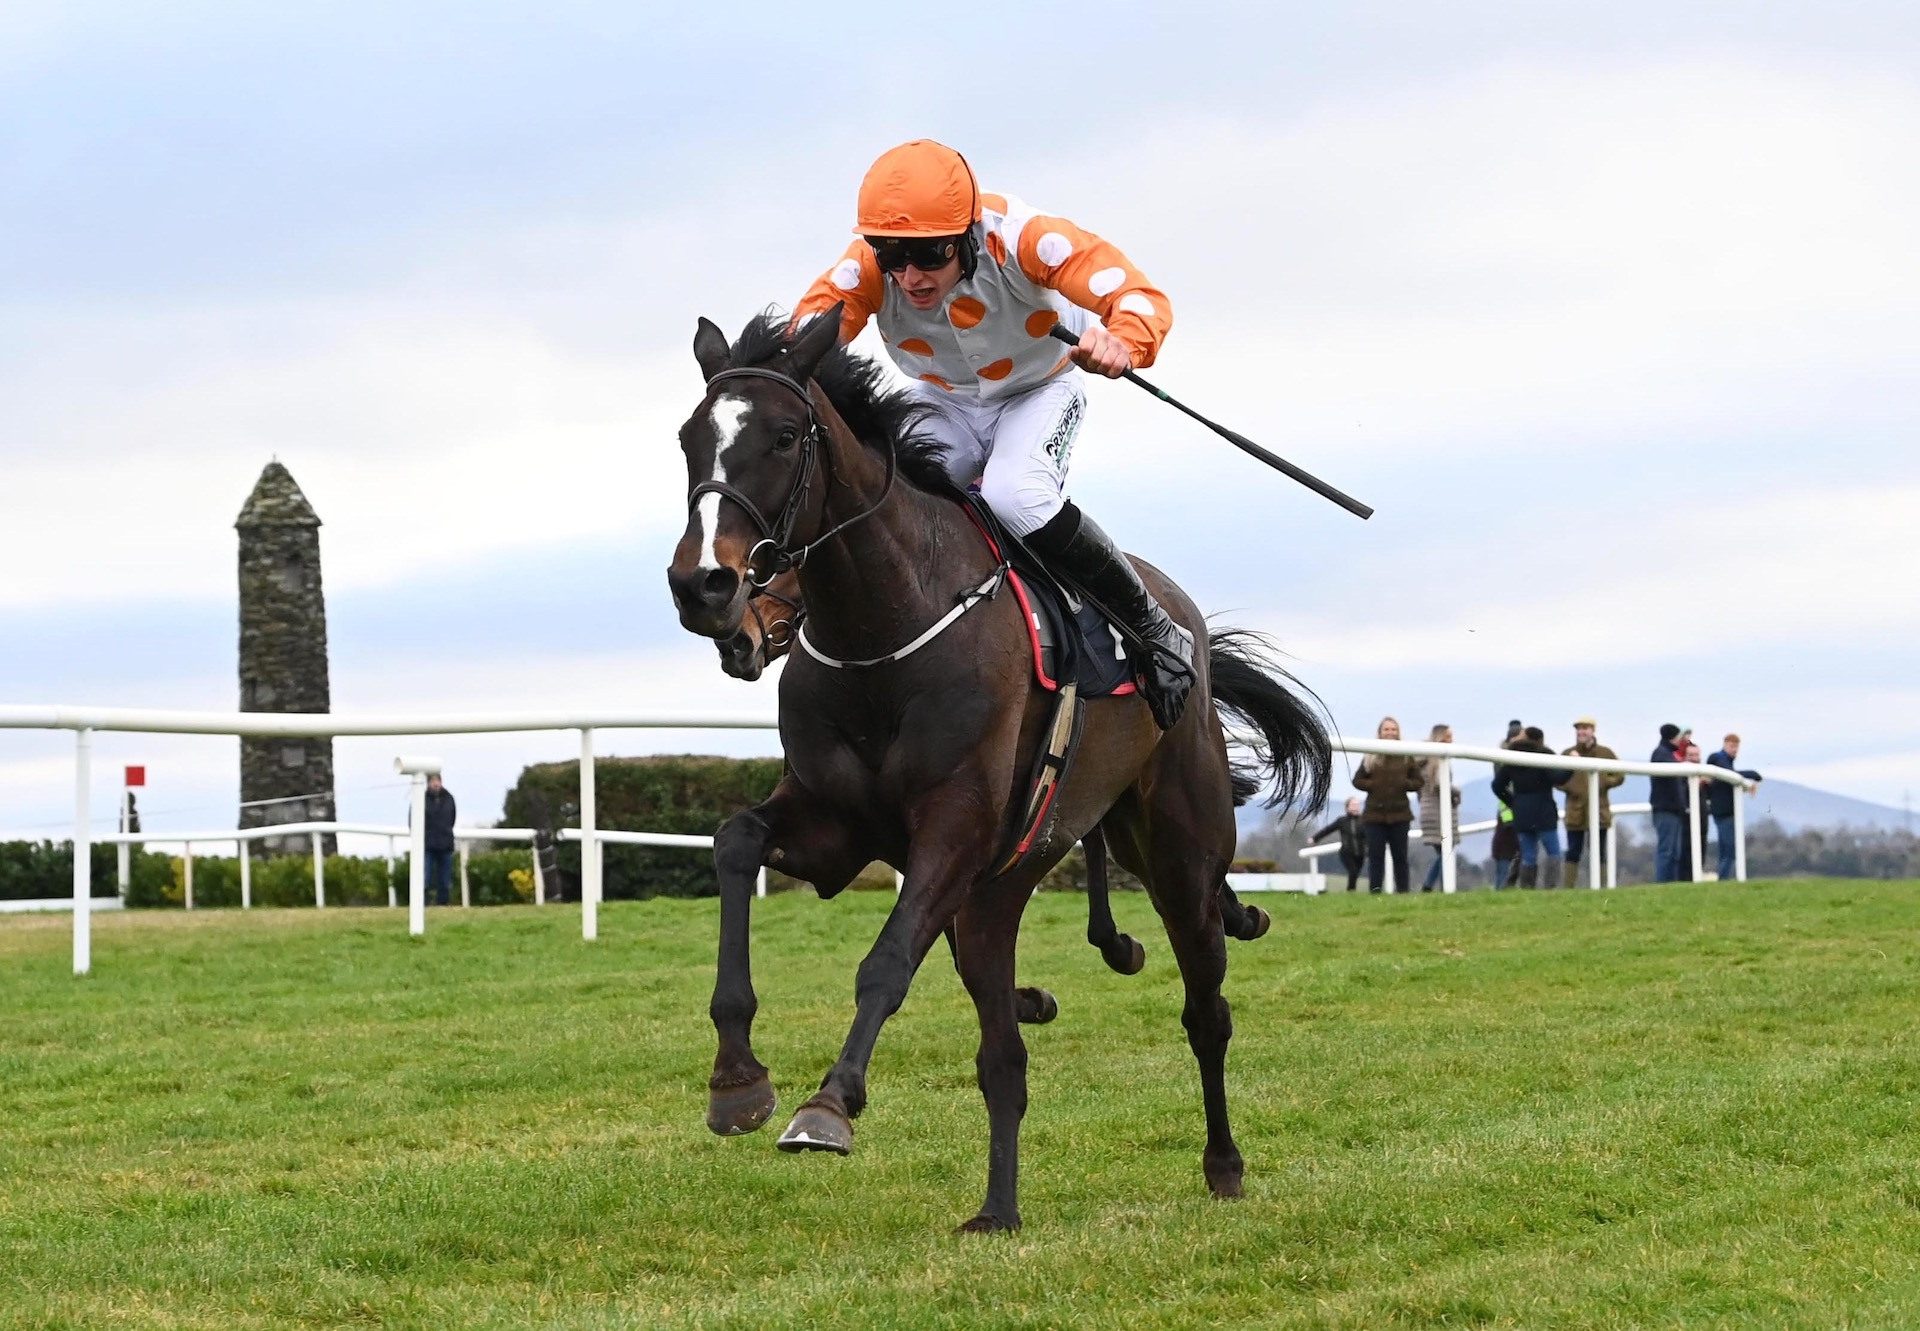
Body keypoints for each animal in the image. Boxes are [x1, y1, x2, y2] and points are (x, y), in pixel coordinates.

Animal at [668, 305, 1328, 1229]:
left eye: (785, 436)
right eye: (690, 437)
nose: (706, 587)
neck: (886, 629)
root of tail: (1184, 619)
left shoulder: (956, 825)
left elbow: (885, 961)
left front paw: (828, 1105)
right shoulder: (835, 826)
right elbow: (734, 841)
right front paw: (737, 1079)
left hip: (1177, 855)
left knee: (1206, 1011)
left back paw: (1223, 1162)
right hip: (1007, 889)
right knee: (1002, 1053)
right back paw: (998, 1207)